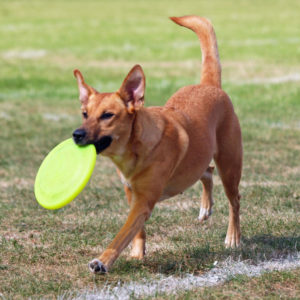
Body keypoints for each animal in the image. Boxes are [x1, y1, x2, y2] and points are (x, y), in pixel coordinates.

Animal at [73, 16, 244, 274]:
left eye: (107, 115)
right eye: (85, 113)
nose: (76, 134)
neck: (134, 150)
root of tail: (210, 86)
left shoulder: (144, 200)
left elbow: (122, 235)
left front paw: (102, 261)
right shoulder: (132, 194)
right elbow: (136, 231)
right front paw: (137, 253)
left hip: (230, 165)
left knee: (234, 201)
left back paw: (233, 238)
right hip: (198, 161)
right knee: (207, 171)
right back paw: (205, 207)